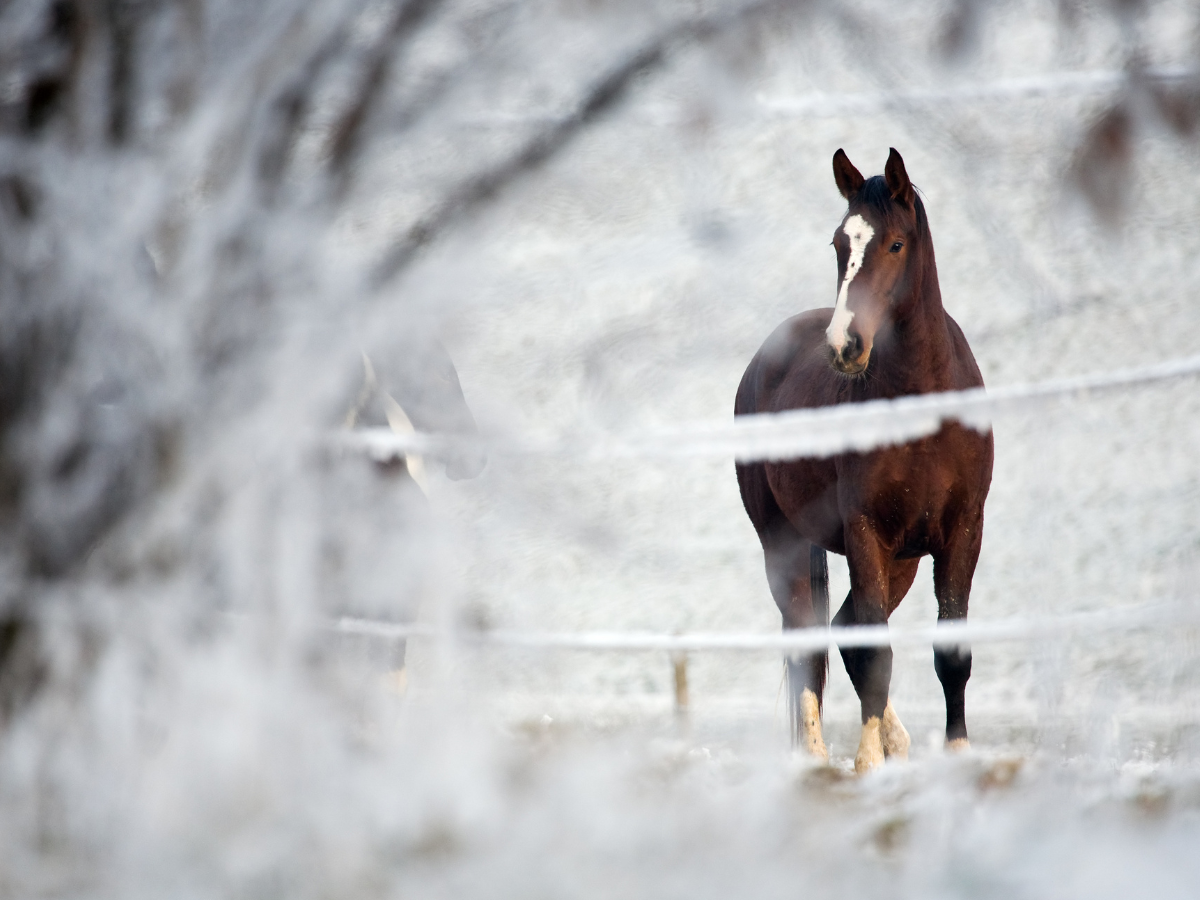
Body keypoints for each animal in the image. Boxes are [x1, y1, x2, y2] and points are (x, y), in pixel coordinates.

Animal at [735, 148, 993, 773]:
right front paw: (868, 762)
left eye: (896, 244)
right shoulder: (865, 532)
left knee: (842, 626)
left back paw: (895, 740)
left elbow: (950, 651)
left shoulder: (962, 532)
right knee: (808, 637)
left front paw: (955, 753)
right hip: (783, 544)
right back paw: (816, 755)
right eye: (838, 244)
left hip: (901, 559)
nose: (845, 345)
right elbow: (875, 650)